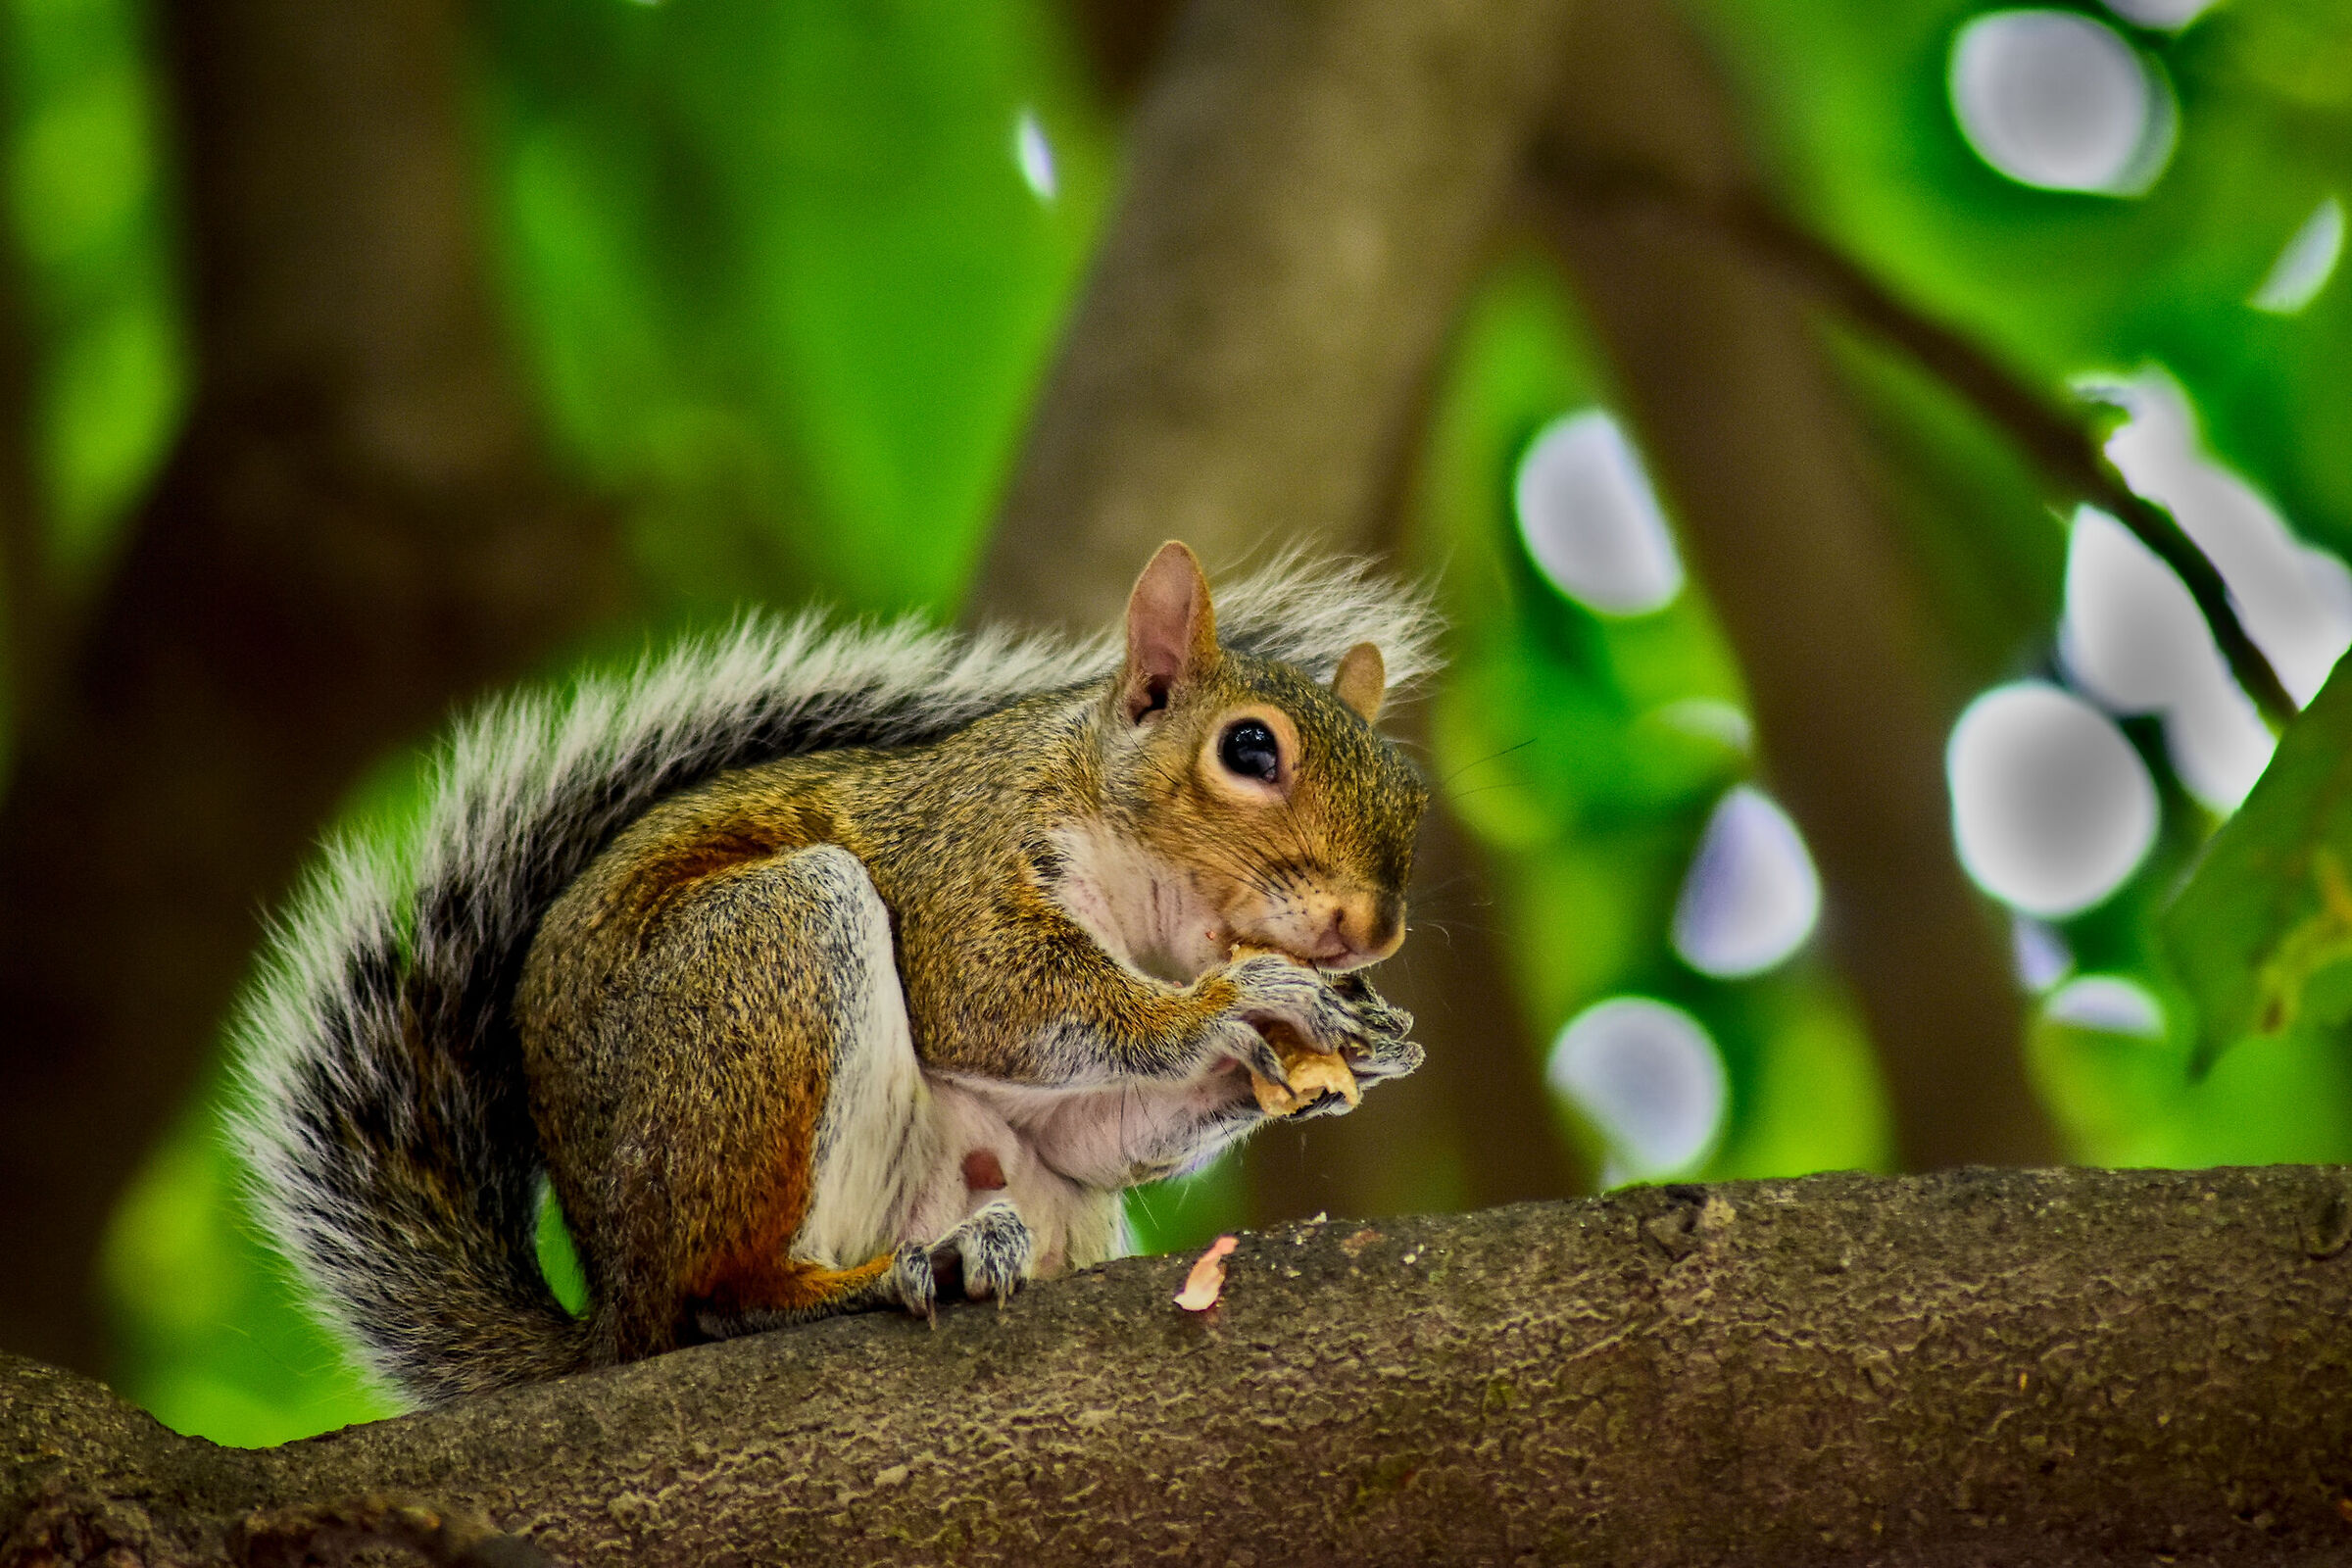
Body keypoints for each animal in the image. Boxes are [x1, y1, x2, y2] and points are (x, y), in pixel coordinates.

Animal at [231, 541, 1437, 1408]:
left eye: (1413, 798)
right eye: (1248, 749)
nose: (1372, 930)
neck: (1151, 920)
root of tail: (613, 1310)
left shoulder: (1075, 1121)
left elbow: (1094, 1132)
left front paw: (1348, 1048)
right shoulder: (963, 860)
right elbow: (995, 994)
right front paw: (1246, 1002)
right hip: (773, 960)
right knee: (719, 1300)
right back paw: (884, 1275)